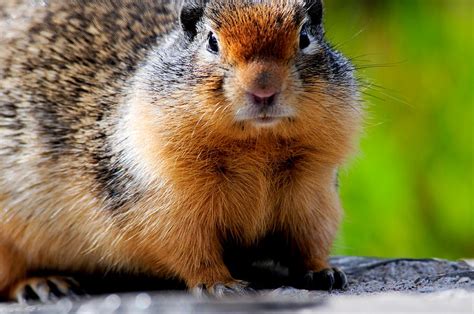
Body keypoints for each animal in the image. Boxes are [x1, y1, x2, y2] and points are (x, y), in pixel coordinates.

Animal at [0, 0, 362, 300]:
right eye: (212, 41)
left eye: (304, 37)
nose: (264, 89)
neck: (258, 147)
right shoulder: (167, 202)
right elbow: (188, 248)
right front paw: (222, 284)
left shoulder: (314, 191)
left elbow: (310, 237)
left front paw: (324, 272)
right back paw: (43, 285)